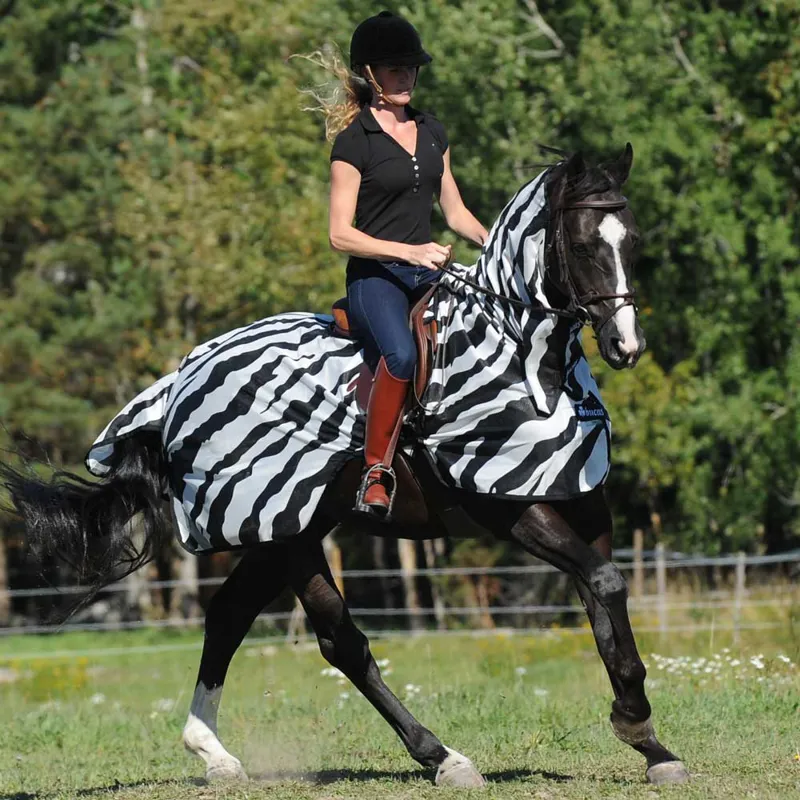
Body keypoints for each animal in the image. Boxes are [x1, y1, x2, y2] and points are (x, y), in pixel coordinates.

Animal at [2, 144, 690, 787]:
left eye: (632, 240)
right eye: (583, 243)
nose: (627, 346)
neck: (525, 362)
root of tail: (180, 381)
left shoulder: (582, 501)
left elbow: (604, 599)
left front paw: (650, 743)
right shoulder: (506, 507)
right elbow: (604, 584)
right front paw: (634, 723)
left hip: (282, 526)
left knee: (227, 616)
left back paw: (214, 754)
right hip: (289, 534)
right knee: (341, 641)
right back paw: (442, 757)